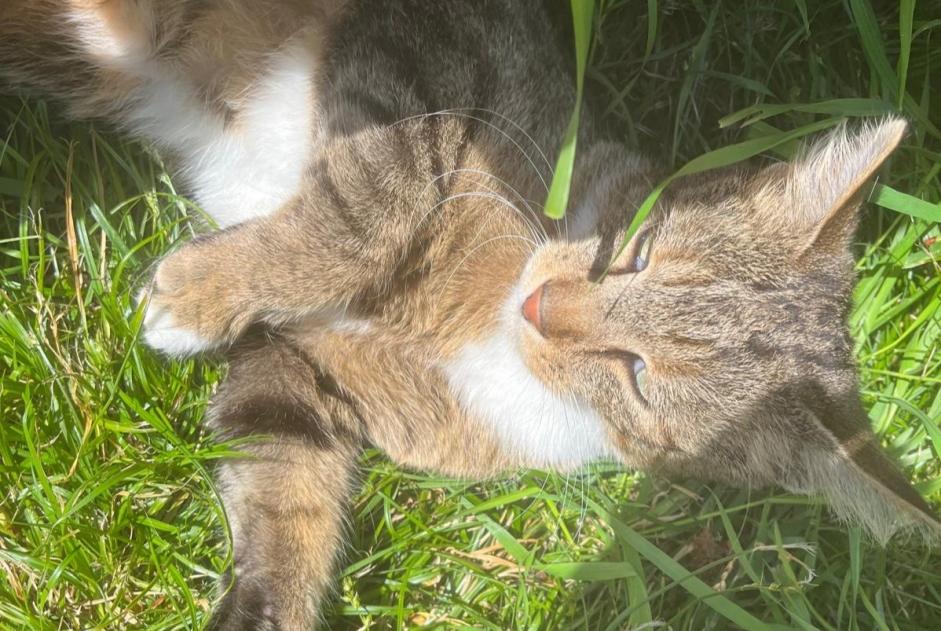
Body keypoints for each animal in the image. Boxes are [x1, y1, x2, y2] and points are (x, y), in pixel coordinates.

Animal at [3, 2, 936, 628]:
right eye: (636, 251)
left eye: (638, 376)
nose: (541, 305)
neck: (484, 323)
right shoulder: (430, 57)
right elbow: (366, 211)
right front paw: (195, 289)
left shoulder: (302, 368)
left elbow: (284, 486)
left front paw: (263, 603)